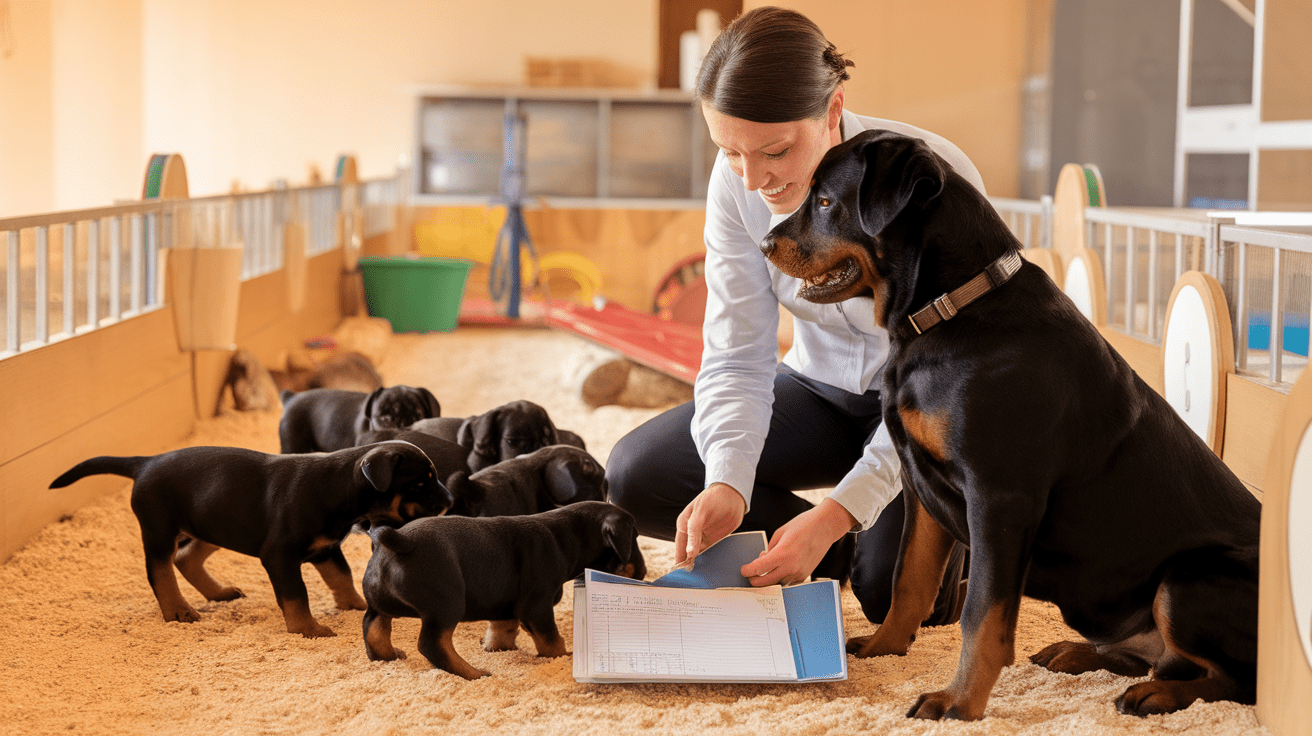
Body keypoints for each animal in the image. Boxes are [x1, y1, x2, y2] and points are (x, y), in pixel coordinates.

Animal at [48, 438, 451, 634]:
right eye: (421, 483)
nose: (449, 500)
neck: (337, 488)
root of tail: (144, 462)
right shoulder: (280, 556)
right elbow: (296, 596)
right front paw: (307, 629)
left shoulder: (325, 549)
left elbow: (341, 577)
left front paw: (352, 604)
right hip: (160, 528)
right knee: (160, 571)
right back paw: (178, 610)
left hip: (213, 522)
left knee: (185, 557)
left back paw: (217, 593)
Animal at [359, 498, 645, 676]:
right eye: (634, 537)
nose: (643, 572)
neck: (566, 539)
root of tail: (400, 542)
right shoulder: (537, 606)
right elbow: (550, 638)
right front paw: (564, 655)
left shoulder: (505, 602)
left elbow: (503, 627)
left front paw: (496, 647)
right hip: (446, 605)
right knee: (432, 644)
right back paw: (473, 673)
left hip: (379, 604)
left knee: (374, 627)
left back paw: (388, 657)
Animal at [760, 125, 1259, 718]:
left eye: (824, 201)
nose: (764, 244)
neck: (949, 309)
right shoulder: (920, 483)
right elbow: (909, 579)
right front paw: (885, 647)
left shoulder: (998, 496)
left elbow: (982, 613)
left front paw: (958, 701)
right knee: (1156, 655)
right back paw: (1080, 653)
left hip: (1185, 580)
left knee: (1234, 681)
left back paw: (1159, 692)